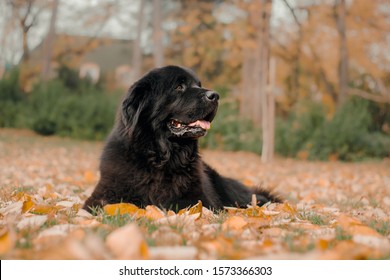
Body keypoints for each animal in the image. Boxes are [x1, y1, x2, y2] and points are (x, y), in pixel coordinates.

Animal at [83, 65, 280, 212]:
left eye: (199, 84)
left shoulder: (199, 199)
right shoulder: (105, 193)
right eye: (179, 87)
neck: (161, 157)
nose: (215, 95)